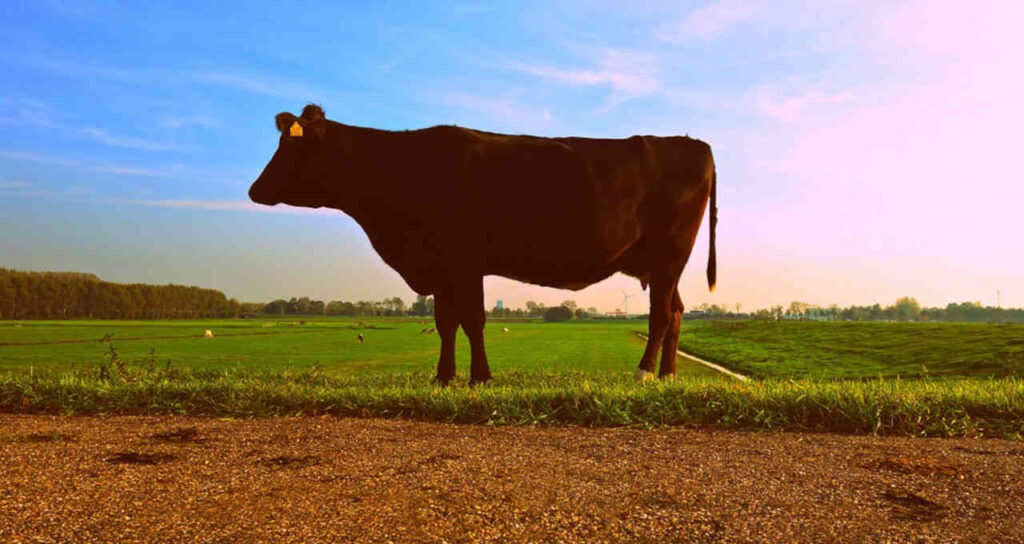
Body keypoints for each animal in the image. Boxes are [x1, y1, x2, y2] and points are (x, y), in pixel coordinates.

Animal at [249, 104, 717, 385]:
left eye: (290, 147)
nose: (254, 190)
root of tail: (694, 143)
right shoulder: (441, 266)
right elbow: (445, 322)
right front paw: (442, 378)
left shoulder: (464, 260)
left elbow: (473, 321)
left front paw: (480, 378)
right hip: (660, 264)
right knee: (676, 312)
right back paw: (667, 376)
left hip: (670, 253)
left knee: (660, 315)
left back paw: (643, 374)